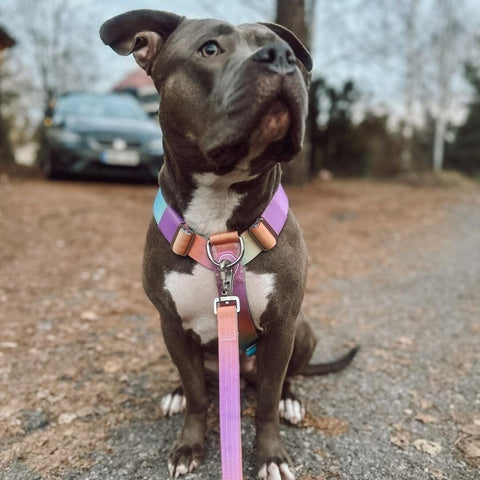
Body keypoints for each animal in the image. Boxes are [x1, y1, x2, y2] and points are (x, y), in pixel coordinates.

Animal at [100, 9, 356, 478]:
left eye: (288, 52)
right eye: (210, 49)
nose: (281, 57)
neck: (219, 222)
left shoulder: (282, 327)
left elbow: (268, 401)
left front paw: (271, 456)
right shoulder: (171, 324)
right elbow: (198, 396)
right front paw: (189, 443)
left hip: (302, 329)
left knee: (285, 380)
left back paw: (293, 400)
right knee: (197, 382)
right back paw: (175, 392)